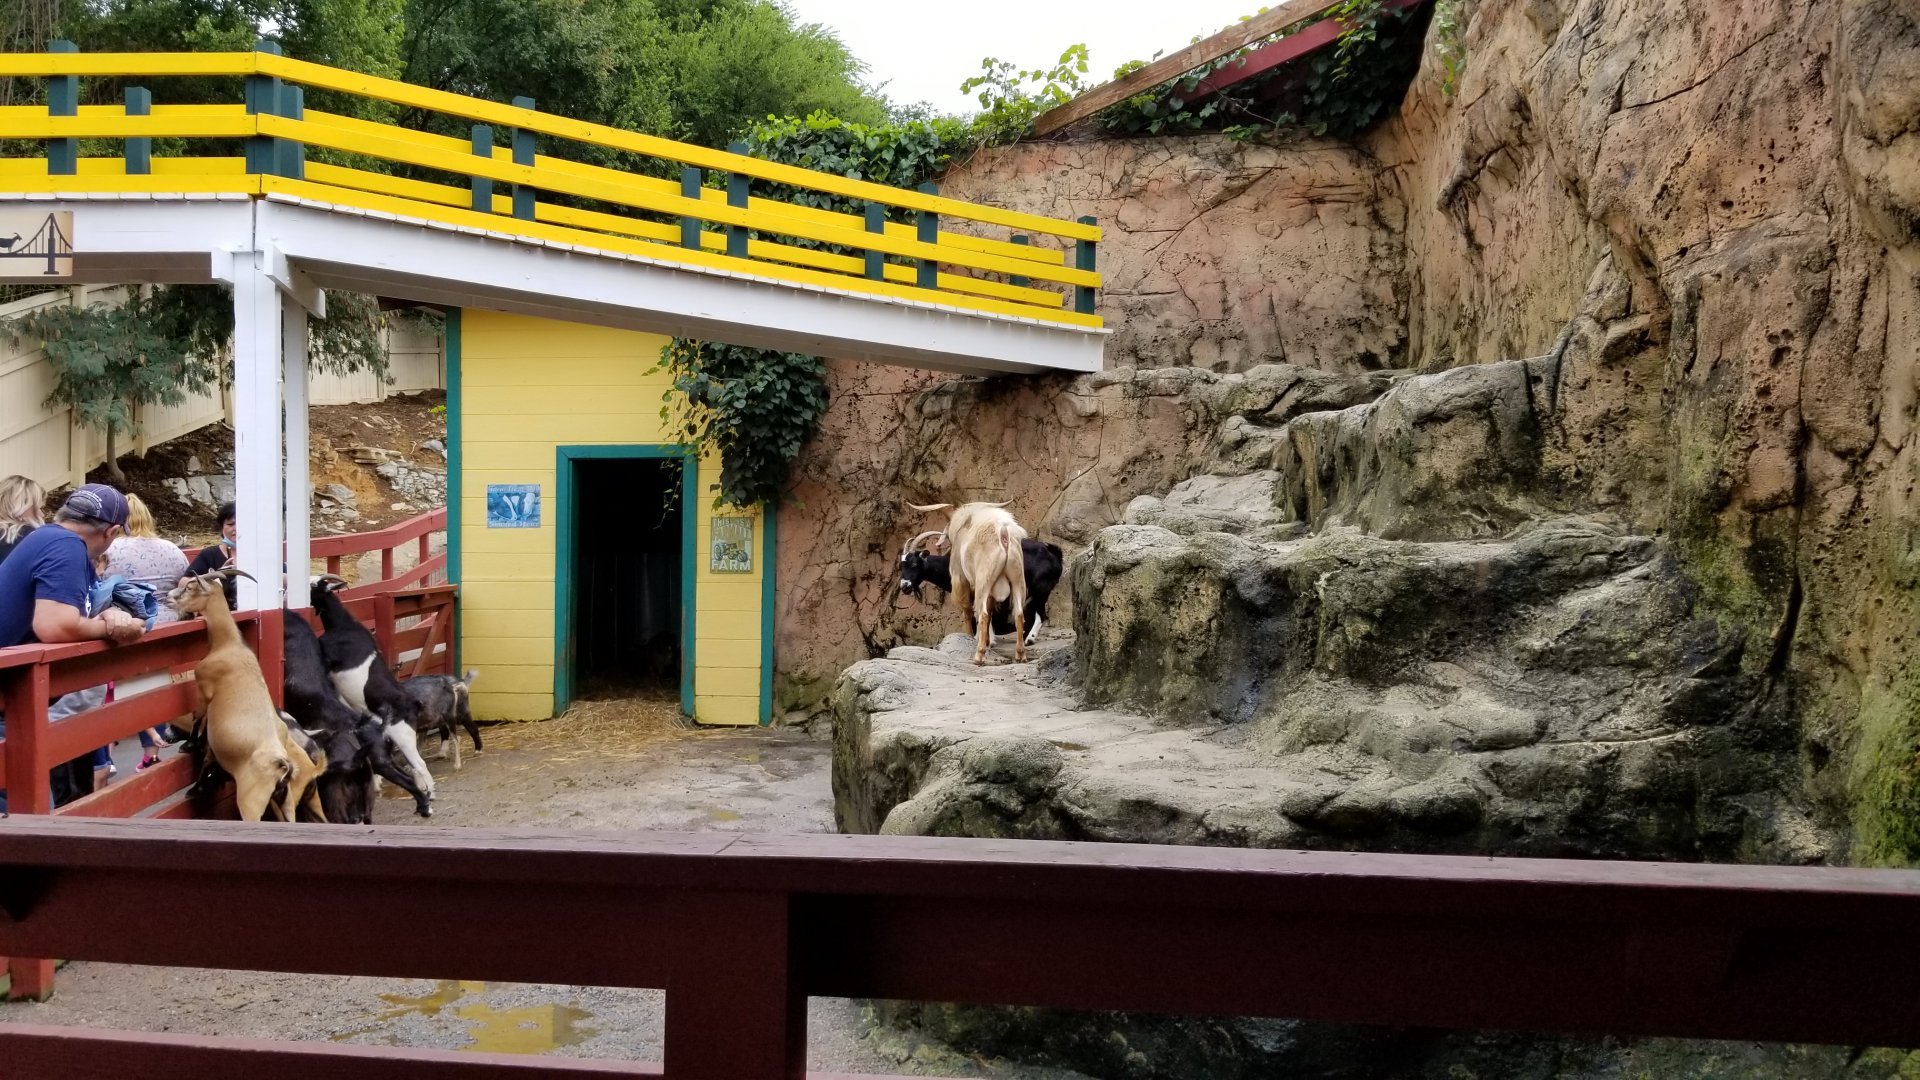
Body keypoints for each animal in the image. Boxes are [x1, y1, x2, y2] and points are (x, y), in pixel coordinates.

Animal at [166, 568, 326, 823]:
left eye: (191, 586)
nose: (168, 597)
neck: (228, 645)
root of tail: (282, 764)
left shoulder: (204, 689)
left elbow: (197, 719)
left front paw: (189, 747)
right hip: (287, 800)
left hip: (251, 802)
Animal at [310, 574, 436, 801]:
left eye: (316, 584)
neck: (343, 626)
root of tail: (413, 703)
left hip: (402, 734)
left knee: (419, 763)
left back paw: (430, 794)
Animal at [899, 536, 1064, 648]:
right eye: (901, 566)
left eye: (914, 564)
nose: (904, 586)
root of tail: (1053, 554)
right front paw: (982, 638)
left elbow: (982, 612)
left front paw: (985, 640)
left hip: (1041, 590)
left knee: (1041, 614)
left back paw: (1029, 639)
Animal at [908, 502, 1029, 665]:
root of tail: (1003, 534)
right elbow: (990, 610)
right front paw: (988, 642)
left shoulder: (960, 579)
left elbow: (967, 610)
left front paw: (969, 638)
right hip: (1017, 580)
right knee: (1018, 614)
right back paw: (1020, 655)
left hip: (983, 581)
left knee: (982, 614)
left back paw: (979, 656)